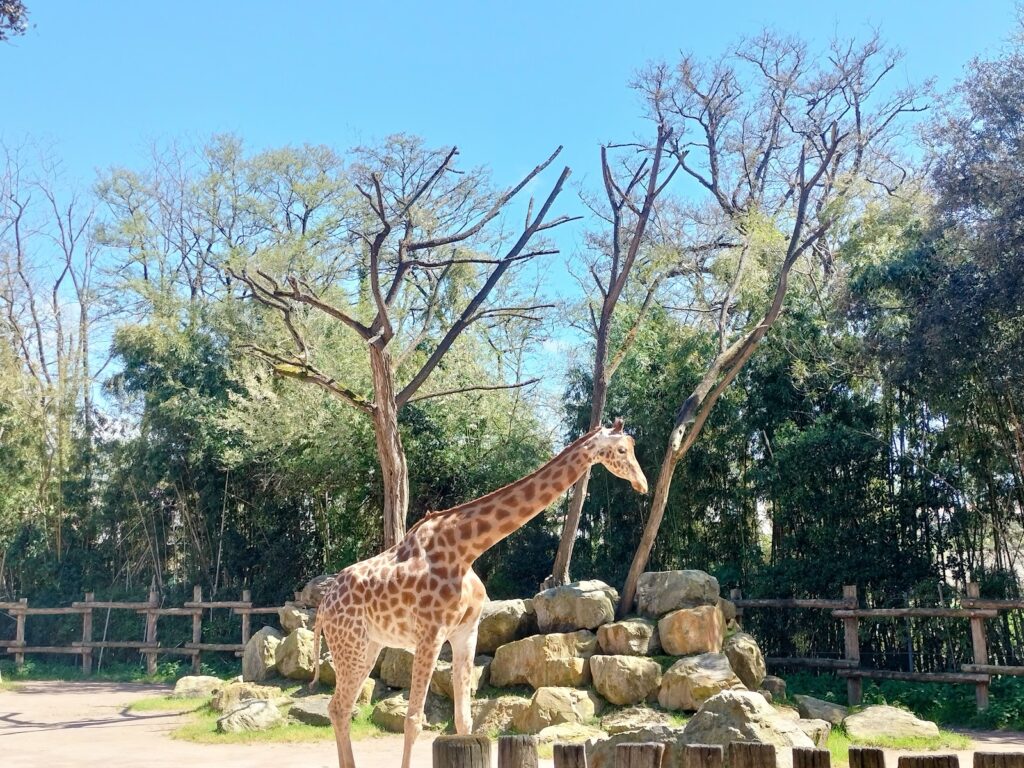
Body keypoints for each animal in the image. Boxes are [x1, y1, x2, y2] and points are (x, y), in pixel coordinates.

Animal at [311, 421, 647, 768]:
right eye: (622, 450)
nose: (643, 484)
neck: (465, 549)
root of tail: (322, 607)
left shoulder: (466, 632)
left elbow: (464, 719)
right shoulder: (430, 634)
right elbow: (414, 719)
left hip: (369, 645)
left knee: (341, 708)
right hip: (350, 643)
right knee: (339, 707)